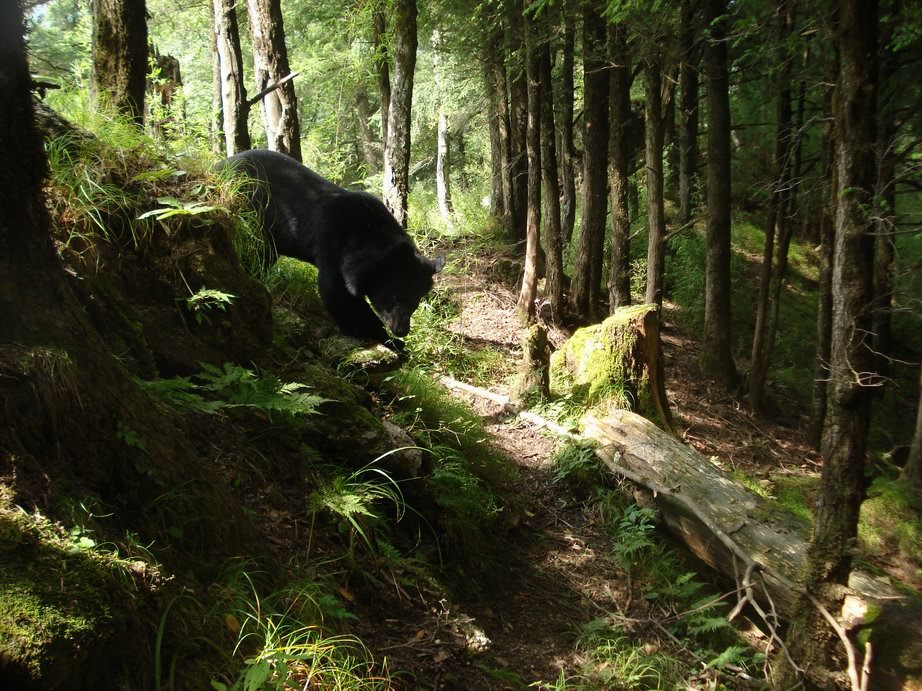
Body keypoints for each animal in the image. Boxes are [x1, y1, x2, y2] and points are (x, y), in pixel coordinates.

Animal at [221, 149, 440, 348]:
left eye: (416, 301)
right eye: (395, 297)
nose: (402, 330)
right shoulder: (332, 247)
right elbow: (337, 295)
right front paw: (378, 335)